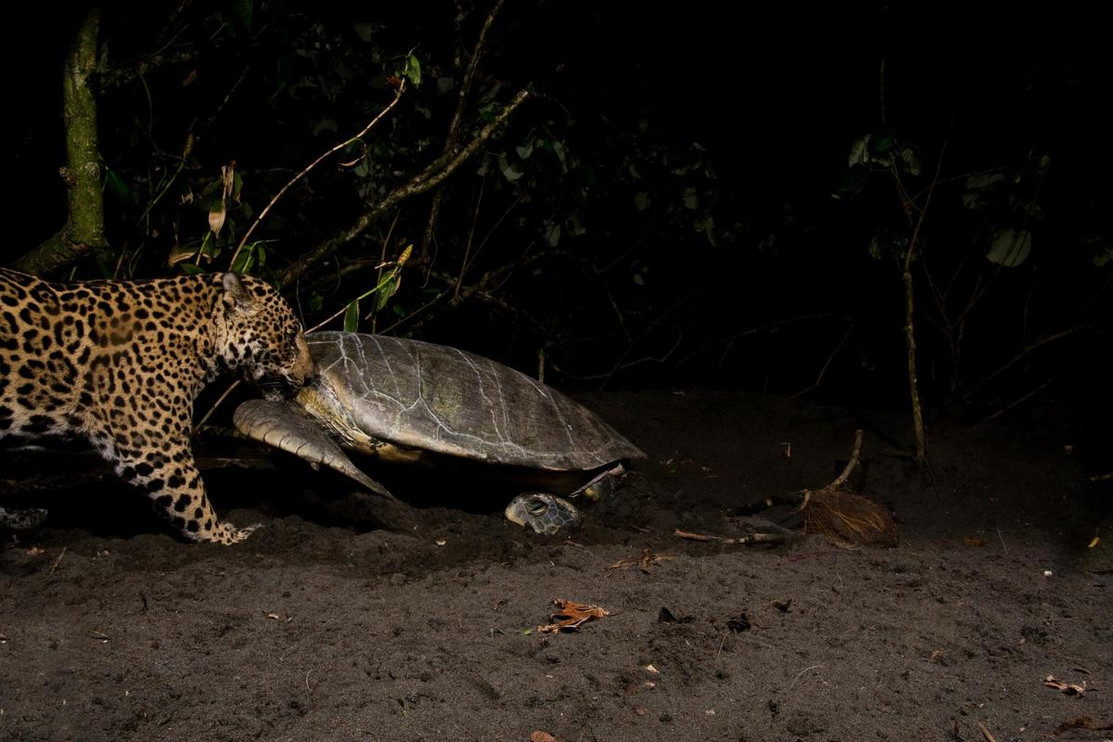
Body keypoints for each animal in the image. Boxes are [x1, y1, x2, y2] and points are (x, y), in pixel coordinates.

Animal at [0, 267, 314, 544]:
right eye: (290, 338)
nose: (311, 377)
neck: (204, 337)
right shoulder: (154, 446)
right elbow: (192, 499)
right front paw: (228, 536)